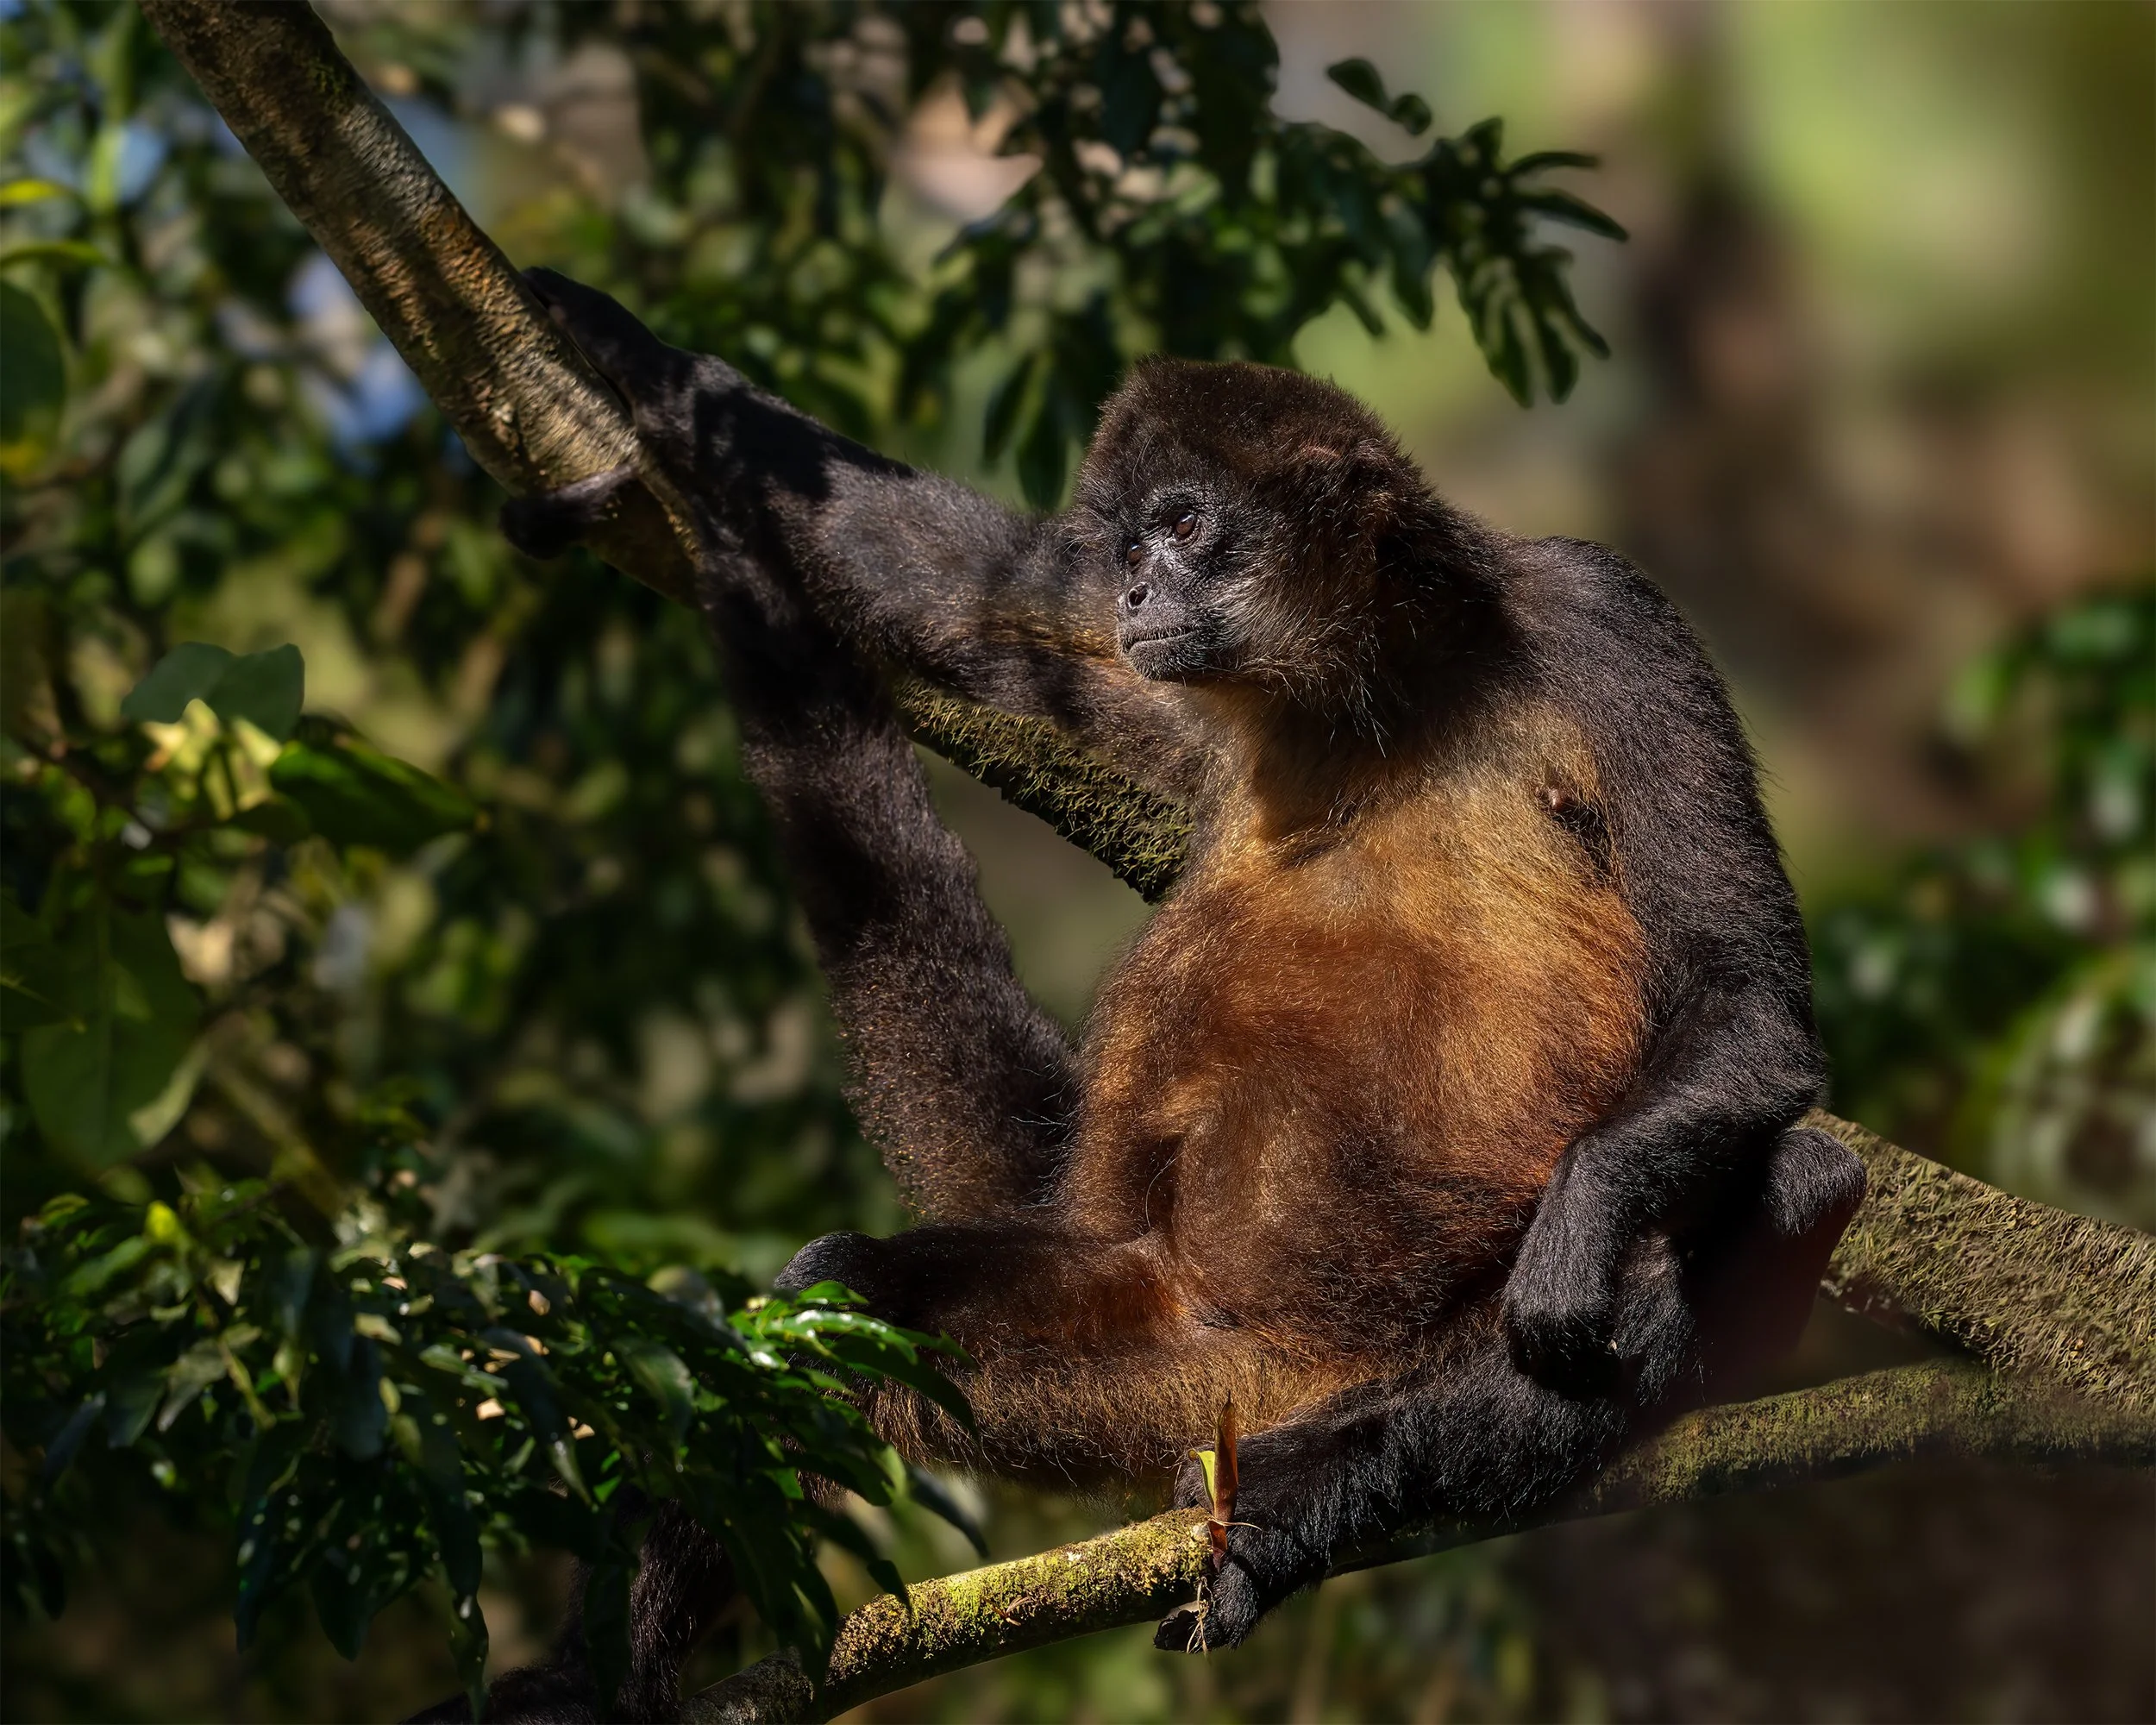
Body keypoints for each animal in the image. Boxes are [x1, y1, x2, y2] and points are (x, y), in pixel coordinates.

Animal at [473, 269, 1866, 1719]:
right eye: (1136, 541)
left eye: (1188, 525)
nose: (1140, 581)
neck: (1371, 697)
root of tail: (1285, 1372)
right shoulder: (1178, 683)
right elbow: (944, 574)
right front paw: (629, 354)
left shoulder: (1605, 610)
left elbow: (1750, 1011)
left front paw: (1580, 1234)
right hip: (1158, 1347)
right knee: (831, 1299)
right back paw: (589, 1687)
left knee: (1791, 1179)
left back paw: (1316, 1503)